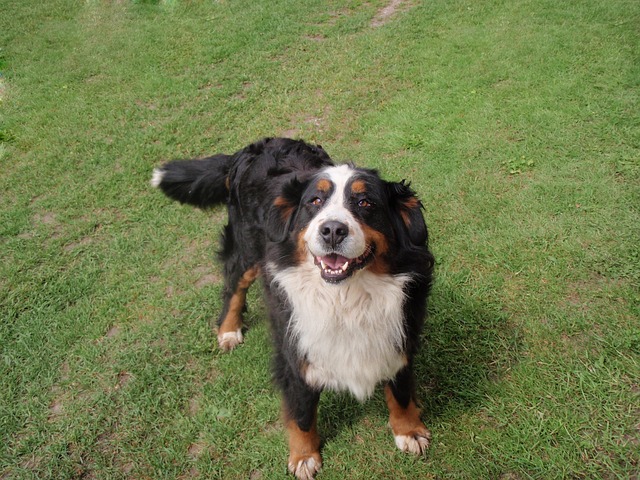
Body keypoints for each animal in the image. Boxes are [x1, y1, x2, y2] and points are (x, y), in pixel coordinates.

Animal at [151, 137, 436, 478]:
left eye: (365, 203)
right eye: (315, 201)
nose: (332, 230)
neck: (346, 298)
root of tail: (254, 147)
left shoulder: (400, 333)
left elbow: (401, 391)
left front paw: (409, 431)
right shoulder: (295, 351)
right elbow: (301, 412)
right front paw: (303, 456)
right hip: (247, 250)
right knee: (234, 286)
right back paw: (229, 331)